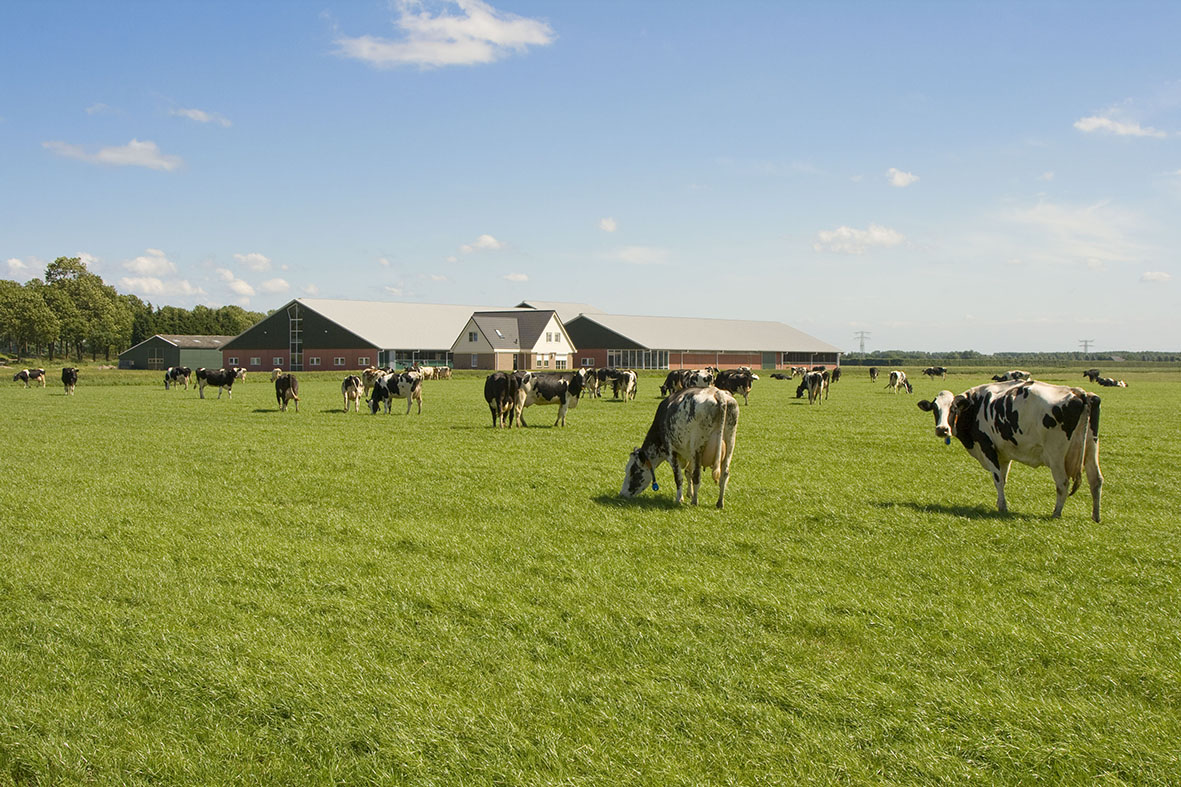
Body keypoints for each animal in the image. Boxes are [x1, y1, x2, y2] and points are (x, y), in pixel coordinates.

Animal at [916, 380, 1100, 519]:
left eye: (953, 408)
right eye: (935, 409)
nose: (942, 429)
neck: (975, 407)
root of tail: (1078, 392)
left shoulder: (987, 447)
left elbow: (997, 478)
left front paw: (1003, 507)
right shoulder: (1004, 454)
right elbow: (1003, 478)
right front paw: (999, 503)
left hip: (1056, 455)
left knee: (1062, 483)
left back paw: (1056, 513)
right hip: (1091, 449)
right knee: (1096, 479)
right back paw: (1096, 516)